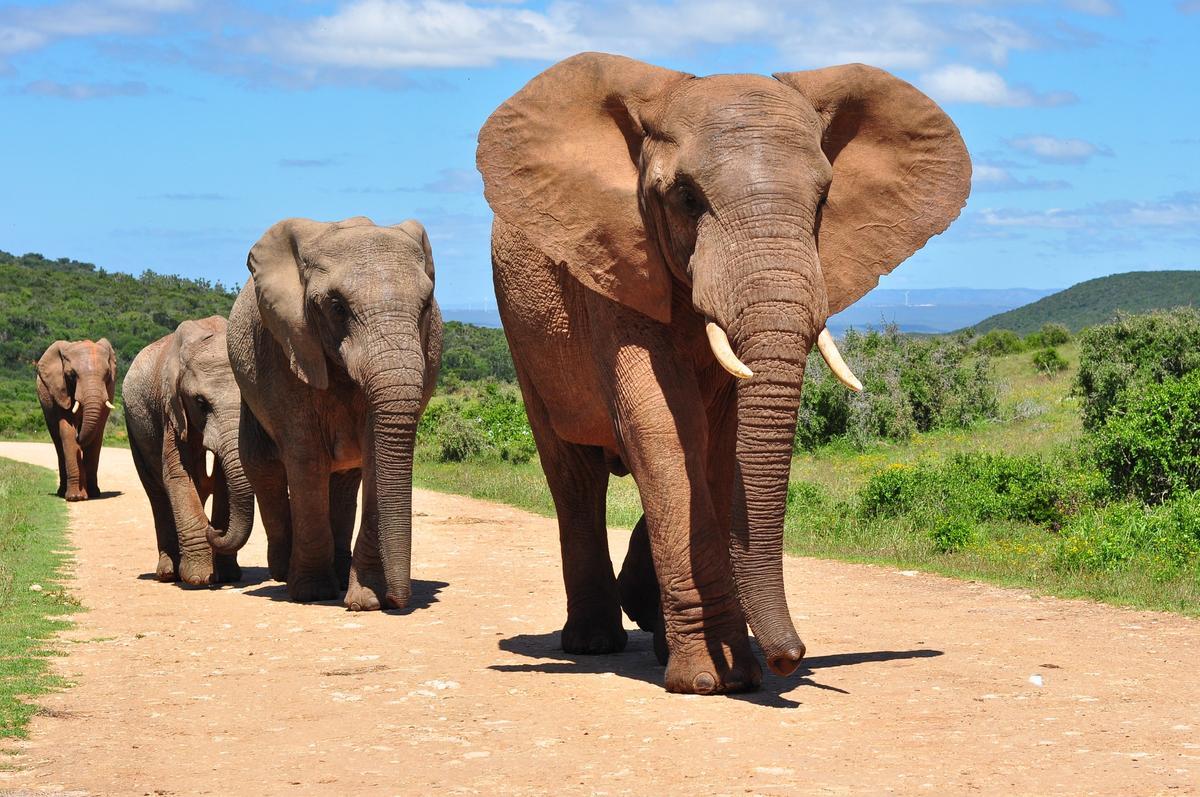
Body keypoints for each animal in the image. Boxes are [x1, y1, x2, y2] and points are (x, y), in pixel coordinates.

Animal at [36, 338, 117, 501]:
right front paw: (75, 497)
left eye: (107, 374)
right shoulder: (60, 390)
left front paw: (93, 494)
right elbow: (67, 431)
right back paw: (62, 492)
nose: (79, 437)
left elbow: (97, 435)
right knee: (58, 442)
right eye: (71, 374)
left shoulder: (109, 389)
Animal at [123, 316, 255, 585]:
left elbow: (224, 480)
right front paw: (198, 578)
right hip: (133, 426)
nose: (214, 530)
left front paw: (227, 576)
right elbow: (177, 475)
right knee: (156, 494)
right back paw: (167, 573)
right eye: (201, 403)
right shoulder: (171, 407)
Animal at [227, 216, 442, 609]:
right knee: (263, 467)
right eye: (337, 307)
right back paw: (284, 573)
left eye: (425, 306)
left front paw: (366, 600)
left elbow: (374, 454)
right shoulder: (286, 345)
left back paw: (339, 575)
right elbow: (307, 456)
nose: (399, 600)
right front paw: (312, 593)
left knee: (344, 479)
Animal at [476, 53, 971, 694]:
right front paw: (715, 679)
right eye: (686, 198)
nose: (791, 658)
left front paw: (732, 668)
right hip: (522, 331)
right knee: (573, 474)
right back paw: (592, 643)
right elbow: (664, 427)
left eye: (823, 201)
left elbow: (717, 443)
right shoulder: (615, 261)